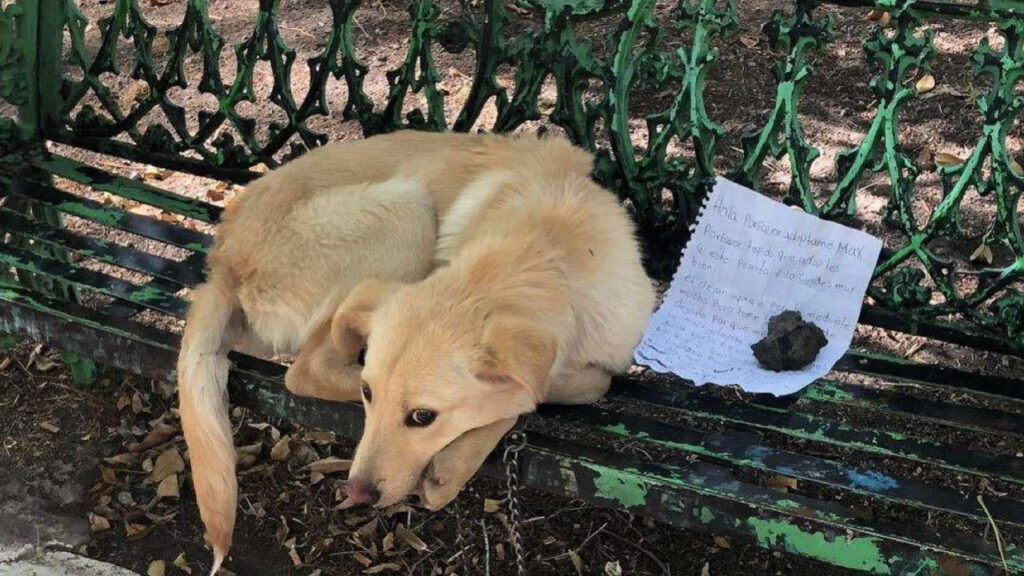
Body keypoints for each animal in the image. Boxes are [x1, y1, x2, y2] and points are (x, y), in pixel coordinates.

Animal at [178, 131, 655, 569]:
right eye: (369, 394)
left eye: (423, 417)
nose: (356, 492)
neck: (545, 252)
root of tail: (223, 260)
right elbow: (540, 393)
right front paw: (460, 459)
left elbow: (562, 386)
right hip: (408, 211)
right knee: (306, 369)